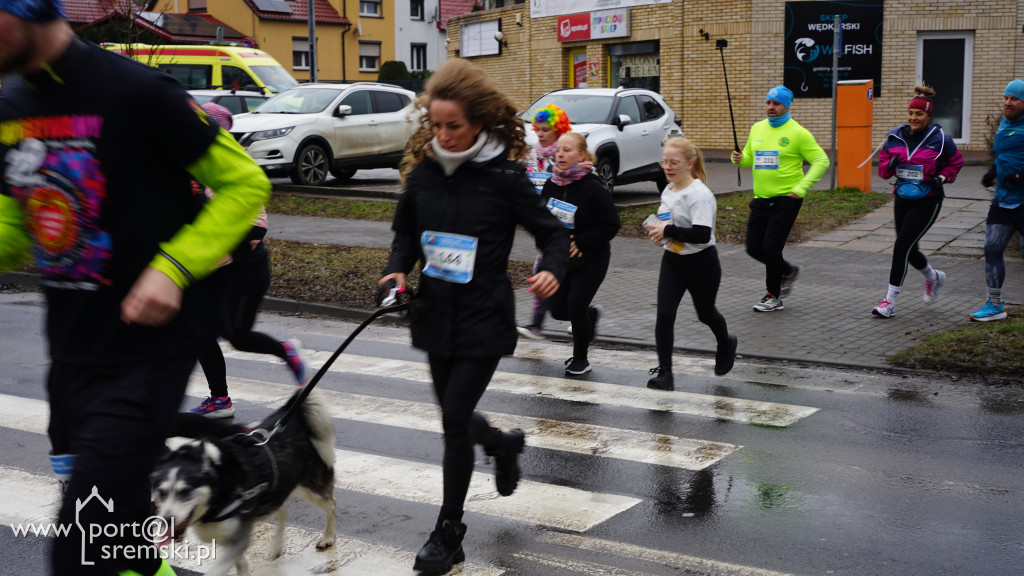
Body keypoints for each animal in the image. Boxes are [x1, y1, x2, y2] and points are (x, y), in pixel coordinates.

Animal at [150, 385, 335, 573]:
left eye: (186, 491)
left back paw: (328, 537)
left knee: (330, 505)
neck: (218, 480)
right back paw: (277, 547)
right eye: (161, 492)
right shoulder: (231, 538)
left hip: (309, 486)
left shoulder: (238, 538)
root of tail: (290, 413)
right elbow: (241, 564)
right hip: (274, 494)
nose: (166, 520)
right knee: (283, 509)